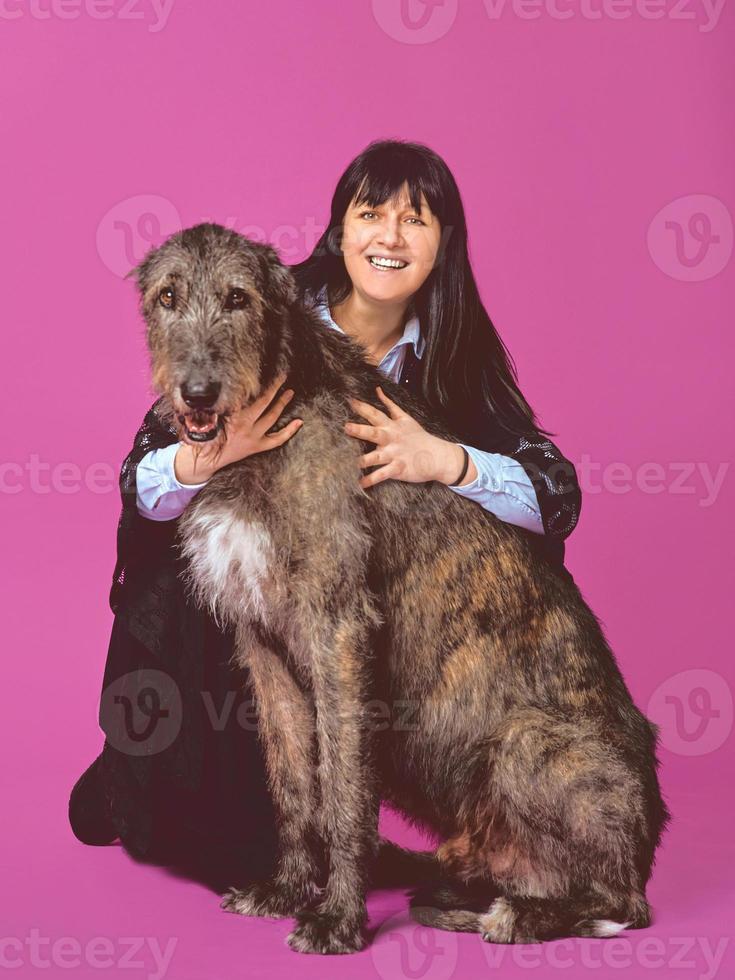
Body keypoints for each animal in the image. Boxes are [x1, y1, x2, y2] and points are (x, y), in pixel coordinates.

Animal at [129, 222, 668, 948]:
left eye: (238, 298)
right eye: (168, 295)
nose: (198, 393)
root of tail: (649, 842)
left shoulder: (338, 625)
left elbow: (344, 789)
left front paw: (338, 917)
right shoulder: (262, 640)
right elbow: (293, 781)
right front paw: (286, 889)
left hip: (527, 746)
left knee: (620, 903)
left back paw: (515, 915)